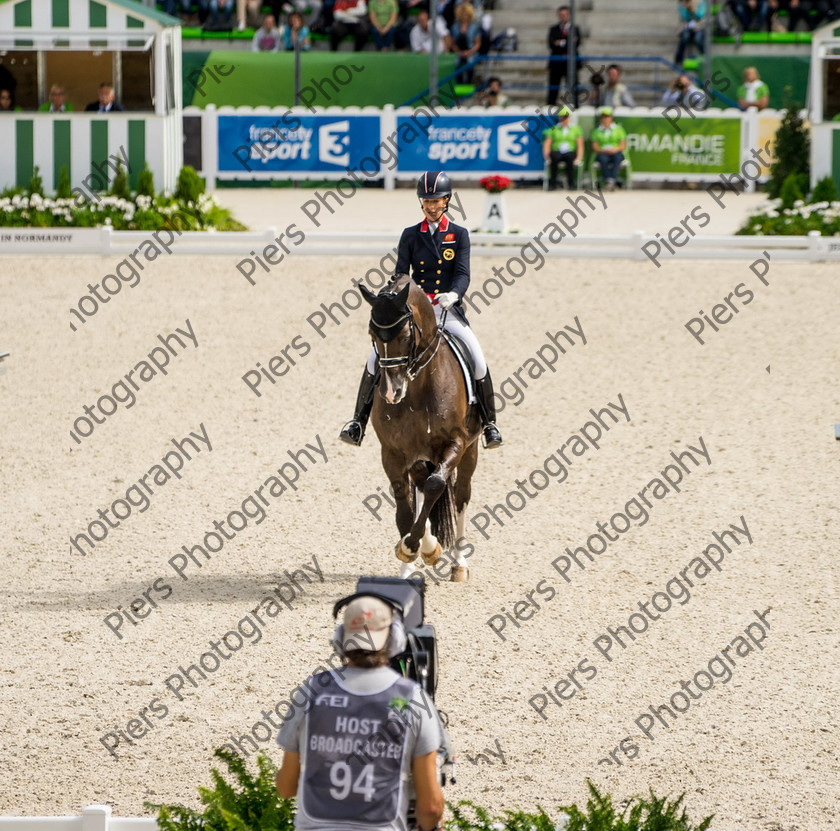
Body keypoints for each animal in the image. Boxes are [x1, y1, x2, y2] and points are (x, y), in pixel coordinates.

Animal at [358, 276, 482, 580]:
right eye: (372, 335)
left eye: (405, 336)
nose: (391, 393)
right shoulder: (393, 453)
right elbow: (405, 507)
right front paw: (410, 555)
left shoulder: (457, 442)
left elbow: (436, 485)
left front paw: (419, 547)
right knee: (422, 487)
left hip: (470, 451)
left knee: (460, 496)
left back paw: (459, 564)